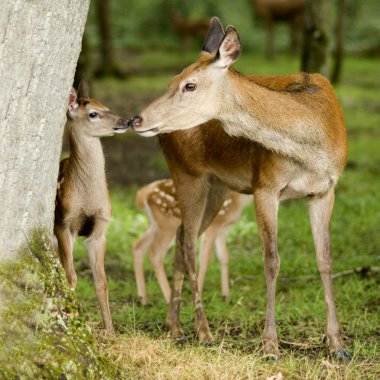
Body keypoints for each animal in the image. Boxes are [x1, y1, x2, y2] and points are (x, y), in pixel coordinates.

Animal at [54, 81, 130, 332]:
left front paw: (110, 330)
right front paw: (72, 317)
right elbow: (70, 276)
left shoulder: (100, 228)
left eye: (106, 106)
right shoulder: (64, 223)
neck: (87, 199)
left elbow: (101, 281)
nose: (126, 121)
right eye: (93, 114)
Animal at [132, 178, 251, 306]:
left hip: (155, 224)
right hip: (167, 223)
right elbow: (205, 258)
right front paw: (200, 296)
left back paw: (143, 299)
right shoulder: (214, 225)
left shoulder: (223, 228)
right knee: (156, 254)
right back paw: (169, 298)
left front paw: (226, 296)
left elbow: (223, 256)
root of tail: (143, 194)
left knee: (138, 246)